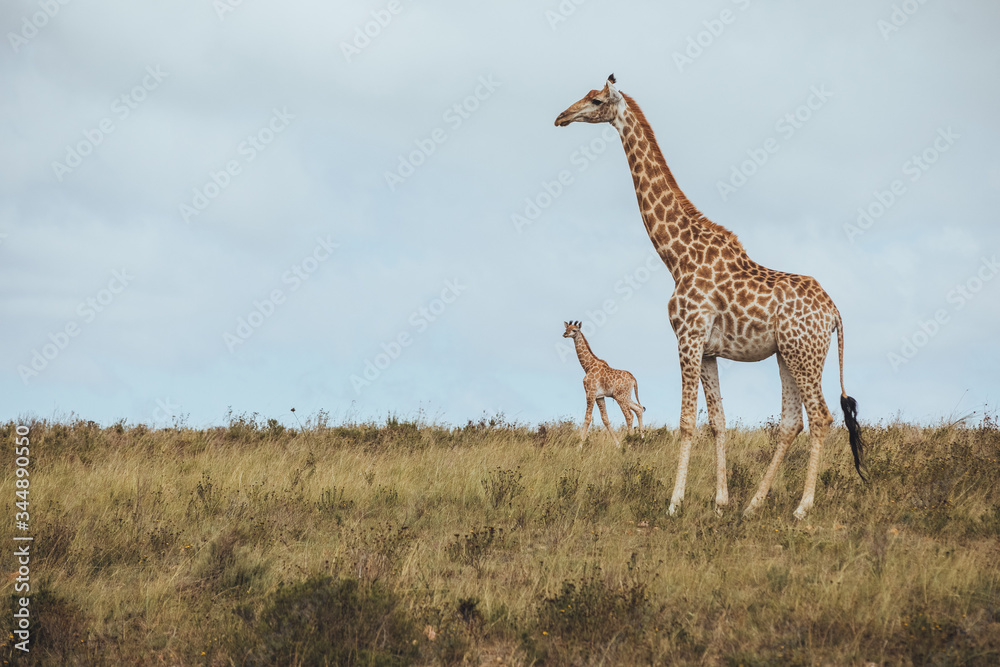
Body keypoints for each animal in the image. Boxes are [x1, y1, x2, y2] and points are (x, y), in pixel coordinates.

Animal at [555, 75, 865, 520]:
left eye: (595, 100)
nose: (562, 116)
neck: (676, 255)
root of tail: (835, 313)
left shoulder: (687, 338)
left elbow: (686, 420)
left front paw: (674, 502)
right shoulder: (708, 350)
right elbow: (717, 420)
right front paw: (720, 501)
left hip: (805, 353)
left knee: (821, 417)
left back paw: (802, 508)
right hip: (787, 355)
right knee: (793, 421)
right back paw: (752, 505)